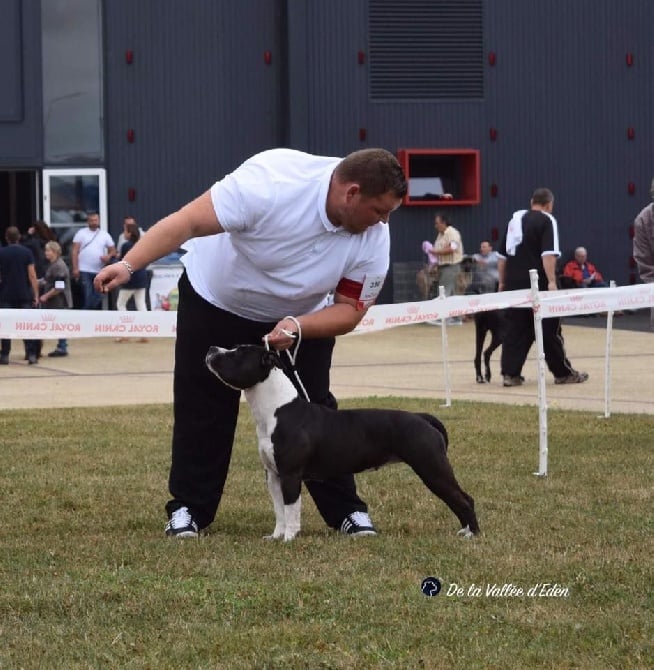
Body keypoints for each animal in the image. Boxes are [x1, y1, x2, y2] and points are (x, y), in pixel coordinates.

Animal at [206, 346, 482, 540]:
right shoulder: (273, 475)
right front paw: (276, 536)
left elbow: (291, 508)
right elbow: (279, 510)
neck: (275, 409)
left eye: (238, 352)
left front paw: (289, 538)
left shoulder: (291, 475)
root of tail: (422, 418)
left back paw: (473, 535)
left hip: (431, 468)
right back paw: (465, 531)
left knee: (464, 499)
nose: (211, 349)